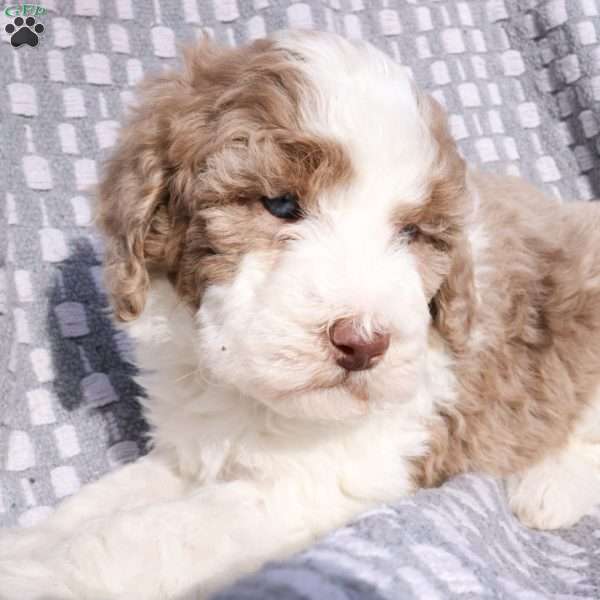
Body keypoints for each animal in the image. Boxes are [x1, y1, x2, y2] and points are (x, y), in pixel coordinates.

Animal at [1, 29, 600, 600]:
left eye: (410, 232)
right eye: (281, 204)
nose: (363, 343)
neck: (244, 394)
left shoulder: (315, 485)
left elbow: (148, 538)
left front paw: (35, 577)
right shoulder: (189, 450)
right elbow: (100, 504)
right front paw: (27, 546)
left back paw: (547, 490)